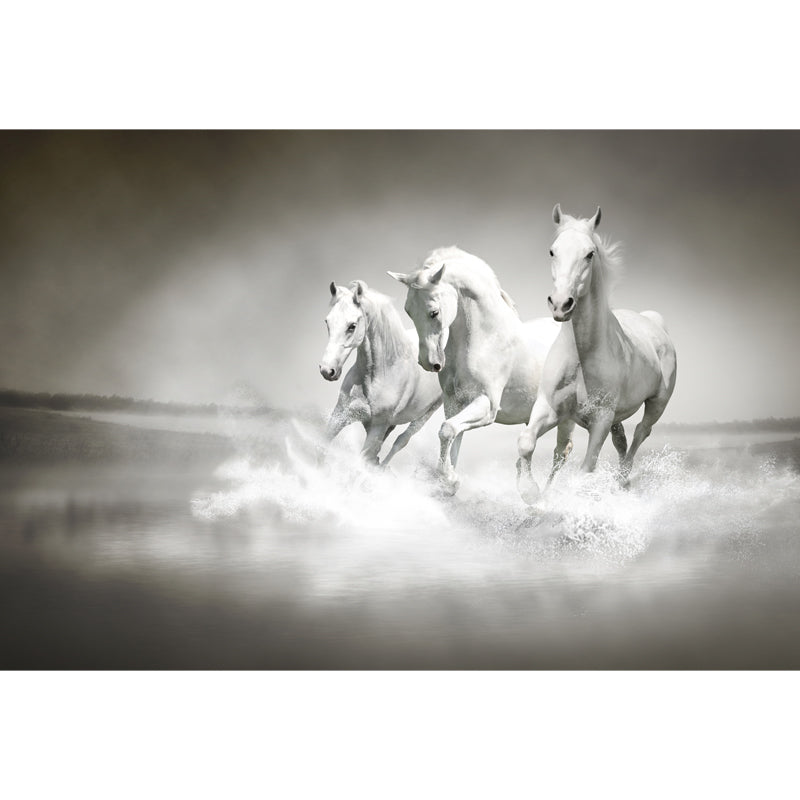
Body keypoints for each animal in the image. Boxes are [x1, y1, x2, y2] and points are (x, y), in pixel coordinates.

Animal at [319, 280, 442, 466]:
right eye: (328, 322)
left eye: (352, 326)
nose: (327, 370)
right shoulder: (340, 415)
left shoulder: (377, 427)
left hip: (425, 414)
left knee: (401, 441)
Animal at [389, 246, 574, 494]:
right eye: (408, 311)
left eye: (434, 312)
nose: (428, 363)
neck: (485, 339)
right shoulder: (455, 403)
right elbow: (452, 437)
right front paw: (448, 481)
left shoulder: (487, 405)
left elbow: (447, 430)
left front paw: (449, 479)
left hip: (566, 417)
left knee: (561, 453)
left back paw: (540, 496)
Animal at [516, 205, 677, 504]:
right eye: (552, 251)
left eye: (589, 254)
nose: (561, 304)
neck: (582, 355)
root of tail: (654, 323)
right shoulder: (550, 408)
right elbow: (526, 442)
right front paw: (530, 492)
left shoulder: (600, 419)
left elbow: (586, 468)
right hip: (617, 417)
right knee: (621, 440)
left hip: (657, 403)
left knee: (641, 432)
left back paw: (623, 480)